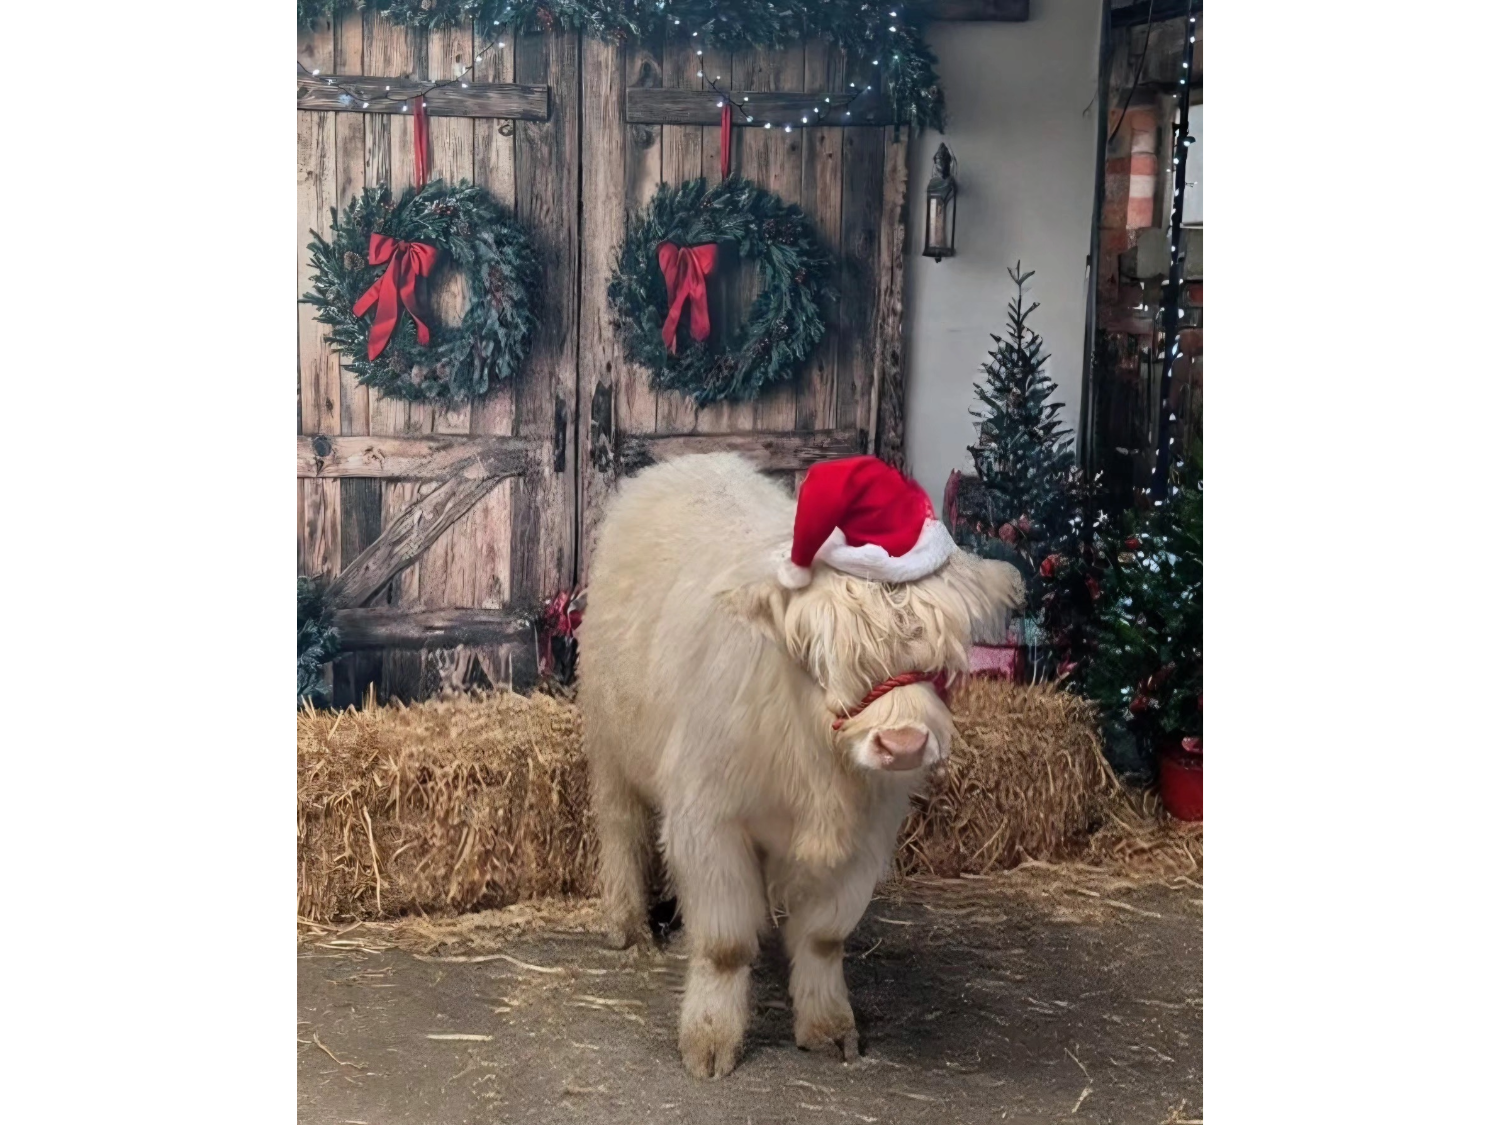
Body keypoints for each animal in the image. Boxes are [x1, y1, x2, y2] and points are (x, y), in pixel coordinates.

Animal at [578, 453, 1025, 1078]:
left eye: (938, 657)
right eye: (822, 654)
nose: (904, 744)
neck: (817, 766)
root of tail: (690, 460)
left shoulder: (865, 840)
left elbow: (822, 939)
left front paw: (829, 1026)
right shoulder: (709, 819)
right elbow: (724, 944)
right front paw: (710, 1040)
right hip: (610, 741)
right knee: (621, 828)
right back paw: (625, 922)